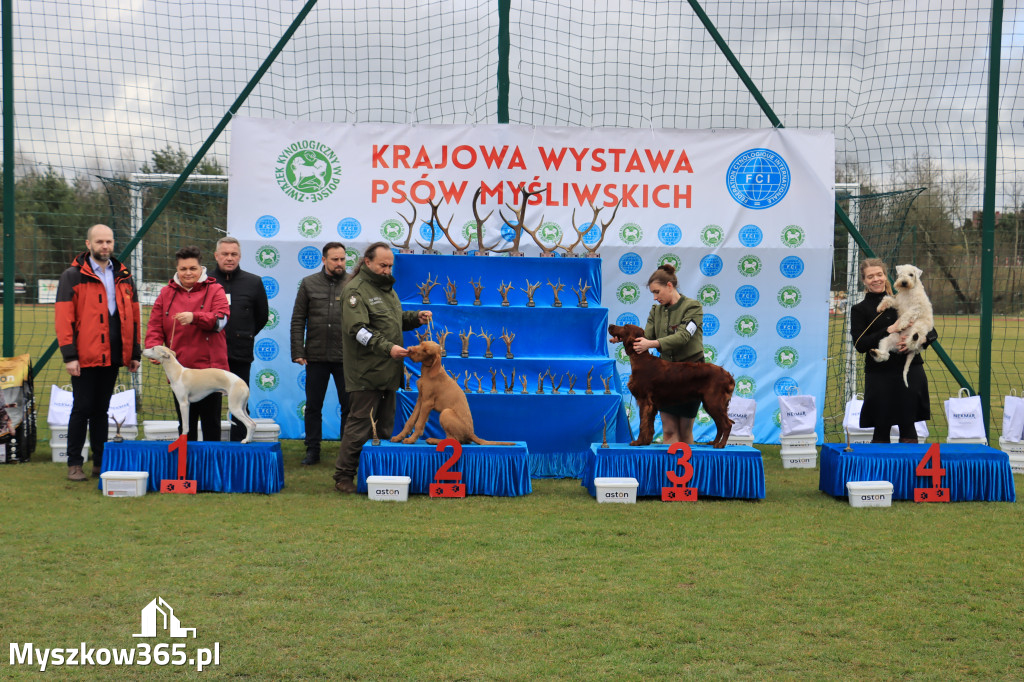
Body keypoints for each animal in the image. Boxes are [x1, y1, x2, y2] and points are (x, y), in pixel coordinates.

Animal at [606, 323, 737, 446]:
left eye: (625, 327)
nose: (610, 325)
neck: (641, 359)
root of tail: (727, 374)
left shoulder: (644, 400)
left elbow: (643, 424)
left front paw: (638, 442)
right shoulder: (652, 405)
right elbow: (649, 425)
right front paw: (646, 441)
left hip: (713, 401)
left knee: (727, 424)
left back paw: (720, 445)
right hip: (710, 403)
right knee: (720, 425)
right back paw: (714, 442)